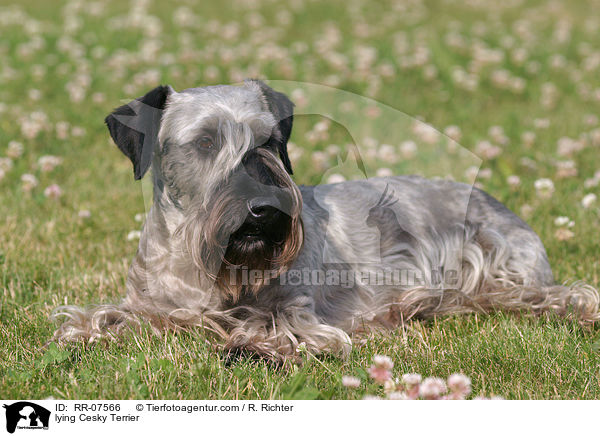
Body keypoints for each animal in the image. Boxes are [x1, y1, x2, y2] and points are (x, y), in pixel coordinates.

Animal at [54, 80, 596, 360]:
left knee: (554, 294)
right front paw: (84, 331)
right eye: (206, 141)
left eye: (269, 141)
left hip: (502, 269)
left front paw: (256, 345)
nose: (266, 210)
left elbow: (280, 328)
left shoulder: (299, 312)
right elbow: (111, 314)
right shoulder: (151, 303)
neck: (202, 265)